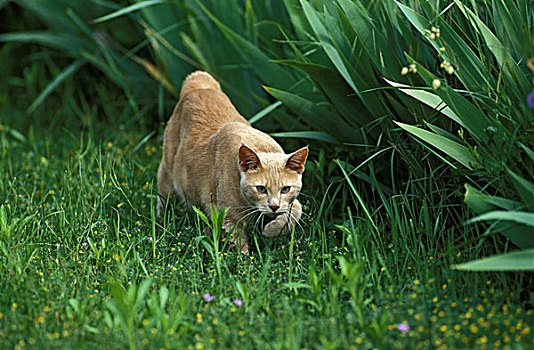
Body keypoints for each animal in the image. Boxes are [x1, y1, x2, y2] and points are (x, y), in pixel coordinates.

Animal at [158, 71, 310, 253]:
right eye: (261, 189)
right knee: (163, 198)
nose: (274, 207)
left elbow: (296, 212)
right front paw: (244, 259)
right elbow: (239, 248)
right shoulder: (226, 215)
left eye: (285, 189)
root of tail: (200, 84)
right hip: (167, 175)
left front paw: (272, 230)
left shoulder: (290, 203)